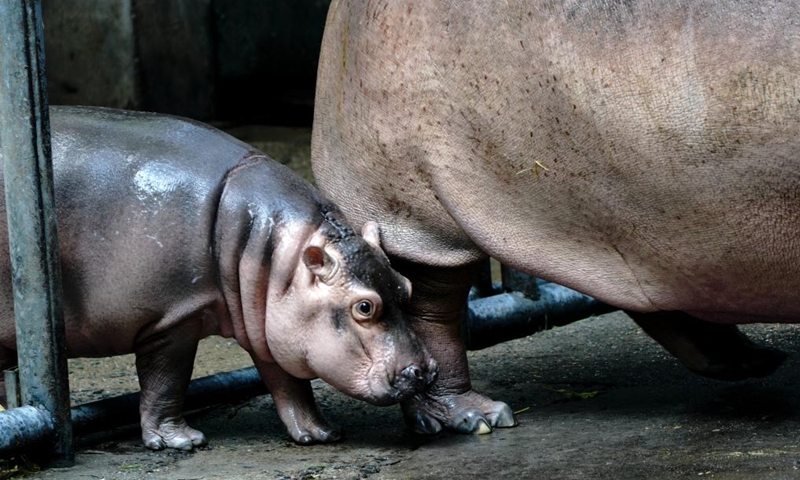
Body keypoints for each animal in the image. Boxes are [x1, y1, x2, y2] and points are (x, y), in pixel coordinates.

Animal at [0, 106, 438, 450]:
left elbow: (286, 381)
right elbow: (167, 381)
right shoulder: (173, 318)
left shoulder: (268, 320)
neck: (275, 252)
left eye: (406, 286)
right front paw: (181, 441)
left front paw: (321, 433)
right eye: (364, 307)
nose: (425, 371)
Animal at [310, 0, 800, 436]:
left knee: (664, 290)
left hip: (646, 213)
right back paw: (479, 419)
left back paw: (755, 359)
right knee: (427, 309)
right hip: (419, 205)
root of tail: (337, 18)